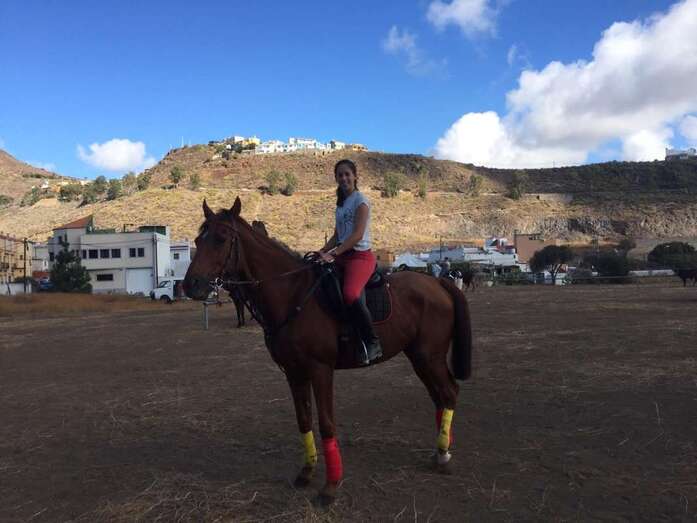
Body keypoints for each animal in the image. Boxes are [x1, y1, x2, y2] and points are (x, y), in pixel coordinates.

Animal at [183, 198, 473, 505]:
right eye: (197, 240)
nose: (191, 285)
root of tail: (437, 282)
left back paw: (443, 454)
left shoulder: (320, 370)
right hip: (419, 356)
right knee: (439, 396)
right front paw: (306, 472)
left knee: (448, 393)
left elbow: (326, 424)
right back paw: (442, 449)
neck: (292, 294)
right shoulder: (293, 372)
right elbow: (303, 420)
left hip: (429, 356)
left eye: (221, 238)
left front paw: (330, 486)